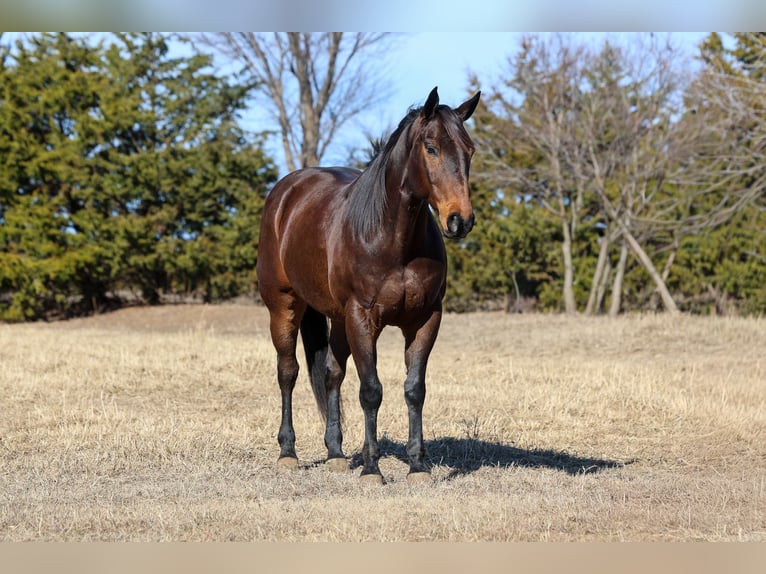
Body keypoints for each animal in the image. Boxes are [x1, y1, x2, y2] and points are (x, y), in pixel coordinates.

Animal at [256, 87, 481, 484]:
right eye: (431, 148)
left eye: (468, 150)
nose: (460, 220)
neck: (391, 237)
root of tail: (284, 194)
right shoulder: (363, 318)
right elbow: (371, 390)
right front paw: (373, 469)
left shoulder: (425, 319)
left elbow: (414, 390)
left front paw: (417, 466)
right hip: (284, 307)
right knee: (288, 372)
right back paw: (288, 453)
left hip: (337, 318)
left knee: (331, 373)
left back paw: (335, 453)